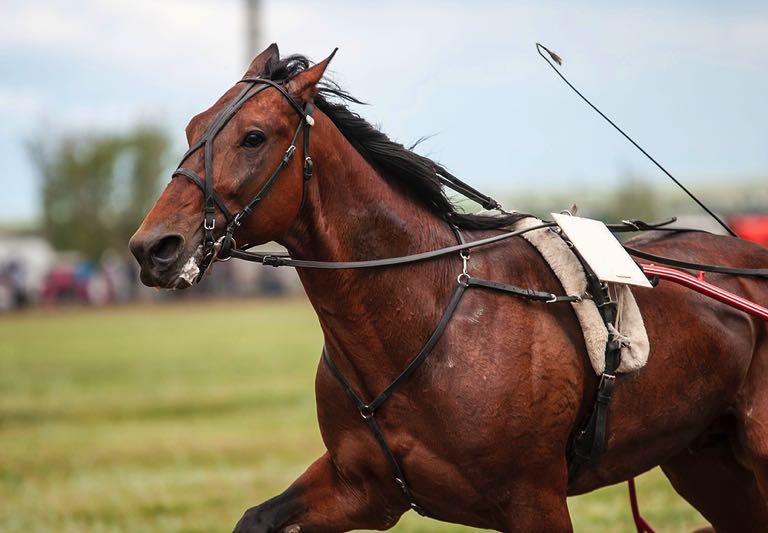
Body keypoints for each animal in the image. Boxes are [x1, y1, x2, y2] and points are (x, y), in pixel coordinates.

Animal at [129, 44, 768, 532]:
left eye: (254, 137)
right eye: (192, 129)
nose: (152, 247)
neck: (426, 314)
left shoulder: (534, 500)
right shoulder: (363, 488)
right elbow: (258, 518)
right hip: (705, 461)